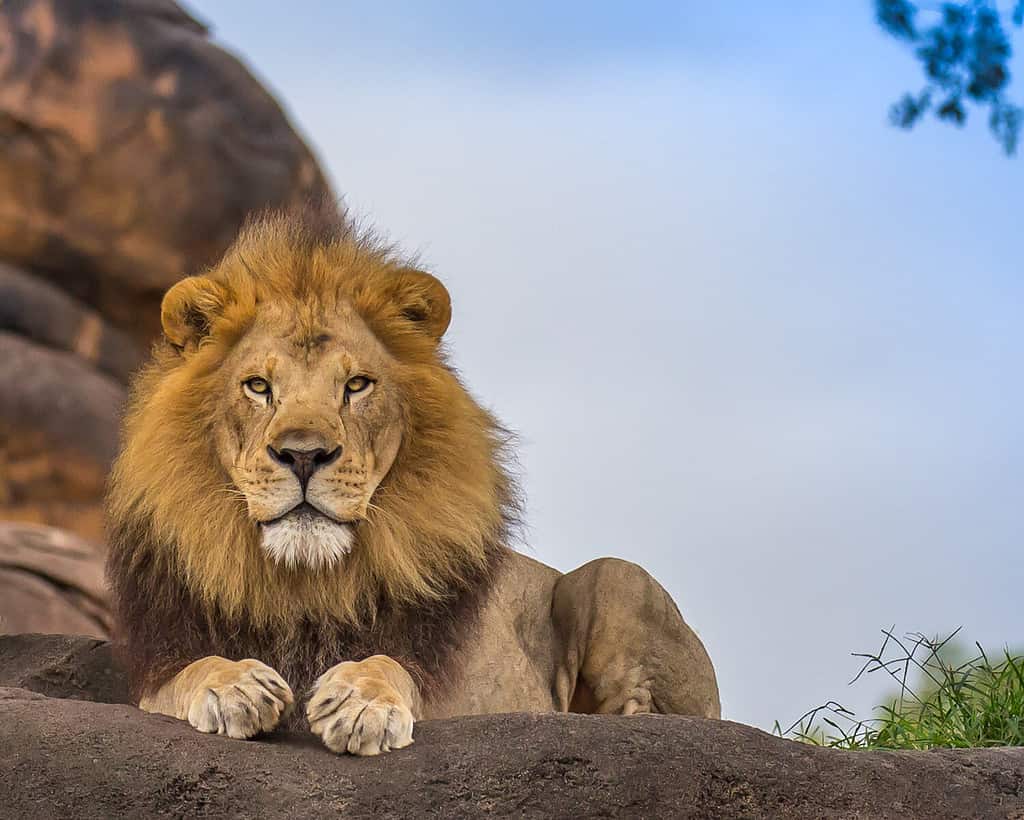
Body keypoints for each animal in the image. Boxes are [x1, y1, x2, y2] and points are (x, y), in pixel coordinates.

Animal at [105, 205, 720, 756]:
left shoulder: (451, 687)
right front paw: (235, 685)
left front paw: (361, 702)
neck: (305, 583)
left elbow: (389, 663)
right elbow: (191, 671)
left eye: (357, 385)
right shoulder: (159, 666)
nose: (303, 455)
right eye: (257, 386)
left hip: (617, 578)